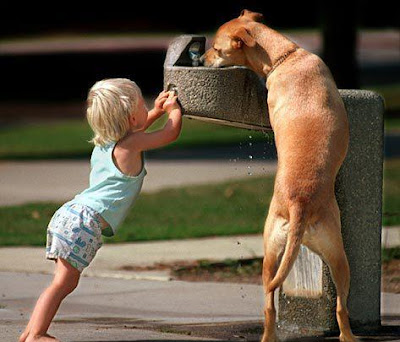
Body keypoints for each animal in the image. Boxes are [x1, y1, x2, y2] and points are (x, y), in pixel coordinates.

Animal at [205, 9, 358, 342]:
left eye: (217, 49)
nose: (203, 59)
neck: (285, 57)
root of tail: (298, 205)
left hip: (271, 254)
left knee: (268, 305)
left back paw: (269, 336)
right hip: (339, 257)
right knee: (341, 307)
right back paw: (348, 337)